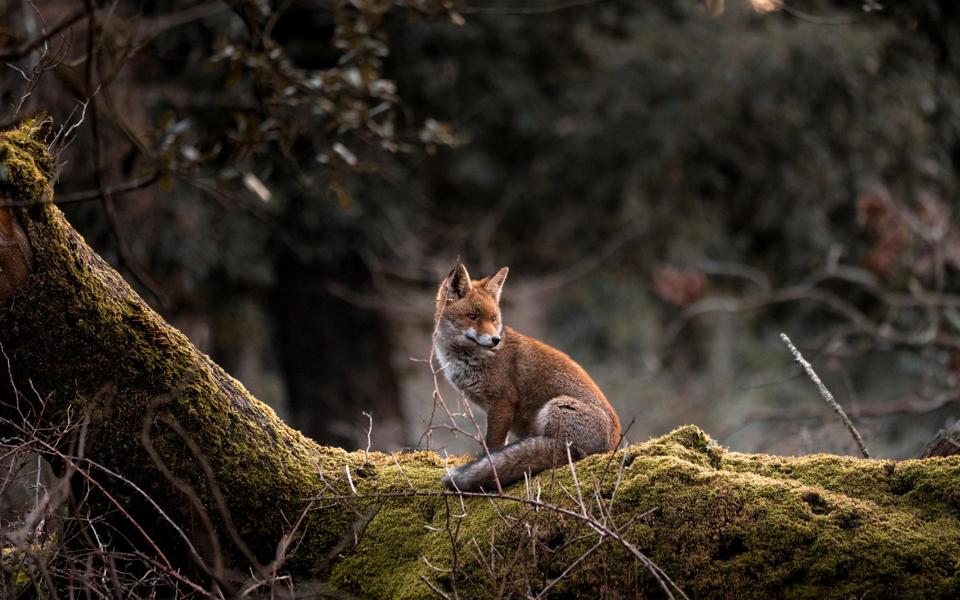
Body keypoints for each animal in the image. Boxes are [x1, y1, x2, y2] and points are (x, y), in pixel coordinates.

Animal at [436, 262, 624, 492]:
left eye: (493, 319)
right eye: (472, 317)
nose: (495, 340)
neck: (469, 359)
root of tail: (611, 447)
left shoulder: (503, 402)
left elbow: (493, 446)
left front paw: (488, 466)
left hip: (556, 407)